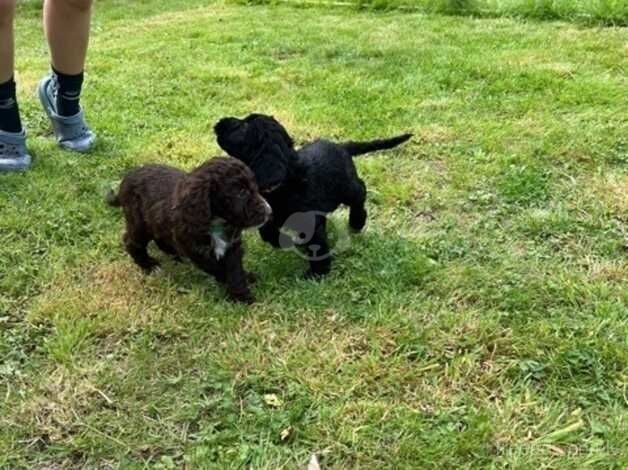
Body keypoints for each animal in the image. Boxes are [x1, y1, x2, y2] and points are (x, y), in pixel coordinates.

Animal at [106, 157, 272, 304]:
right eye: (241, 192)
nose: (269, 211)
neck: (216, 221)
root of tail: (126, 179)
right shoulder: (194, 249)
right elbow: (218, 268)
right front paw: (239, 293)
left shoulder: (232, 245)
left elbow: (234, 269)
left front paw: (242, 290)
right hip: (139, 223)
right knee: (131, 242)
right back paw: (149, 265)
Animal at [216, 113, 412, 276]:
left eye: (243, 126)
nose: (219, 122)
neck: (285, 182)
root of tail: (342, 146)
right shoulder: (272, 215)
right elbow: (266, 231)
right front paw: (282, 242)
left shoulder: (310, 221)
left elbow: (317, 245)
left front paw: (318, 273)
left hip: (348, 188)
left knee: (360, 193)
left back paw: (357, 221)